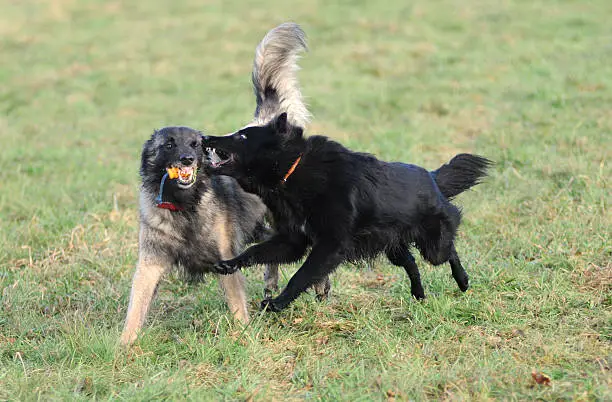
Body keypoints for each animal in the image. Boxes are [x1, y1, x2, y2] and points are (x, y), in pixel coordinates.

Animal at [203, 114, 490, 312]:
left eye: (242, 137)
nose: (205, 138)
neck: (293, 169)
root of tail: (432, 178)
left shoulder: (331, 244)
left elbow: (301, 275)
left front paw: (278, 303)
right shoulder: (293, 240)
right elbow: (256, 251)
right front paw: (230, 263)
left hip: (433, 245)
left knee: (449, 251)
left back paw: (463, 281)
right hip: (391, 245)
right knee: (411, 263)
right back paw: (418, 294)